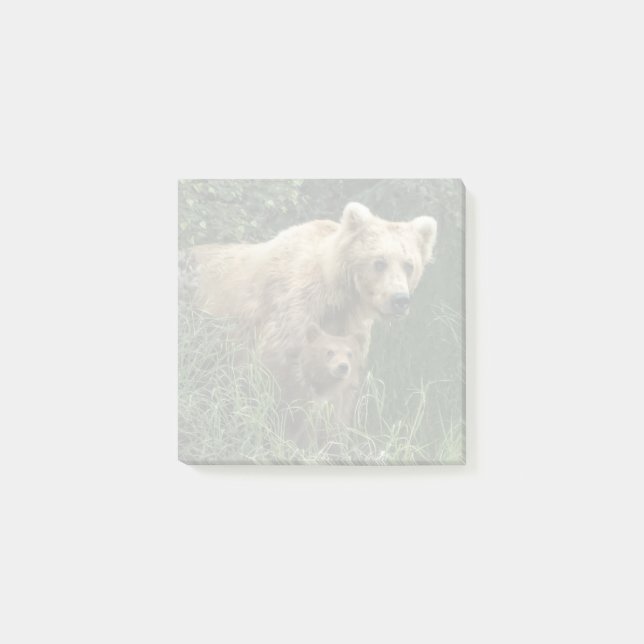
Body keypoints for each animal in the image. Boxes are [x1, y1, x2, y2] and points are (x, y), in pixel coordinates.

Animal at [190, 202, 438, 411]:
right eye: (379, 262)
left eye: (409, 265)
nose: (400, 300)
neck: (337, 296)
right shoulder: (290, 316)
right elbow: (274, 376)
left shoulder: (347, 327)